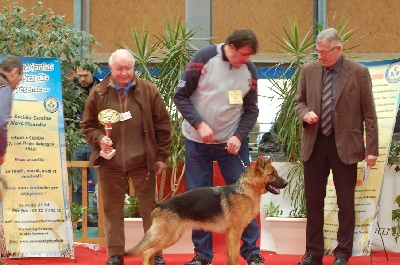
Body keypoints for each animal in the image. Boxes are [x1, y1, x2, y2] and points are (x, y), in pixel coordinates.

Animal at [126, 155, 286, 264]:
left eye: (276, 173)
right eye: (272, 174)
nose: (286, 183)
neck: (246, 189)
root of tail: (158, 206)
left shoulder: (231, 235)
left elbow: (230, 257)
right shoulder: (235, 233)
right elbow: (235, 257)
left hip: (170, 237)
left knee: (150, 253)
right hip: (168, 237)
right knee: (146, 252)